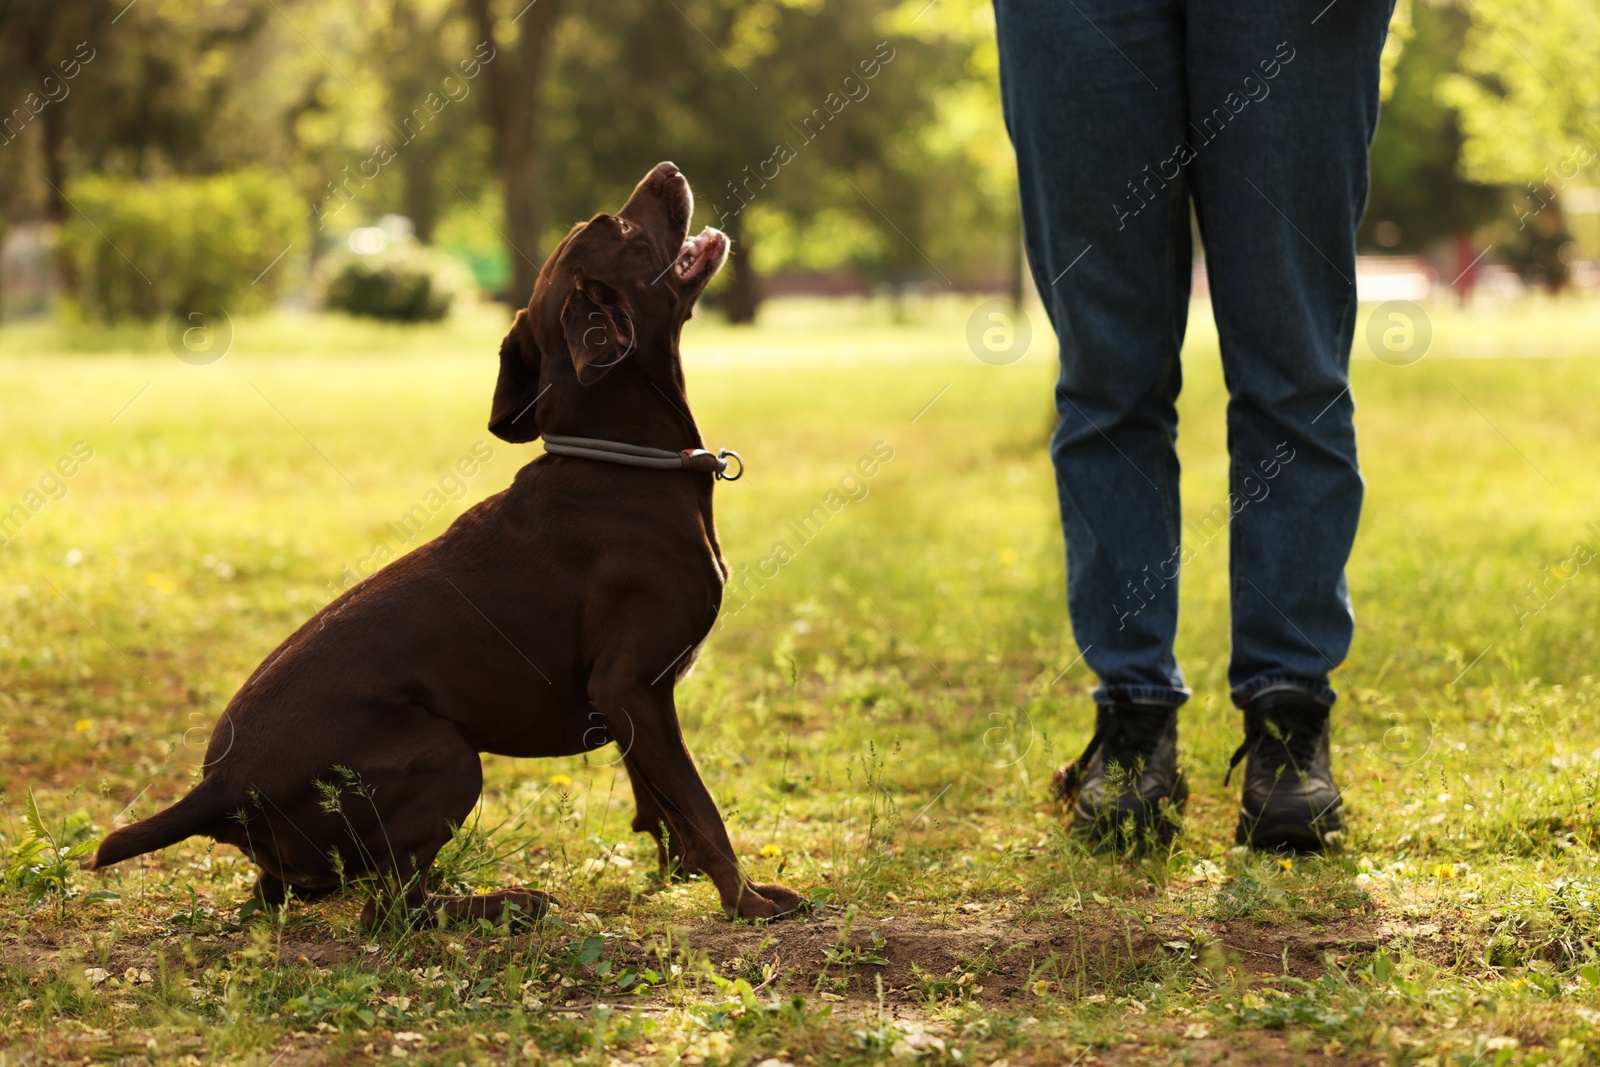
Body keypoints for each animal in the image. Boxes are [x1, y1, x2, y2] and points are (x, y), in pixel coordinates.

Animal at [93, 160, 806, 927]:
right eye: (615, 227)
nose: (668, 170)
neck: (624, 463)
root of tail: (219, 789)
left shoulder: (636, 699)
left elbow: (663, 804)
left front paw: (679, 876)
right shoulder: (632, 684)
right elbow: (702, 809)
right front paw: (747, 903)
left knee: (287, 892)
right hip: (448, 753)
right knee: (392, 907)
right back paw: (510, 901)